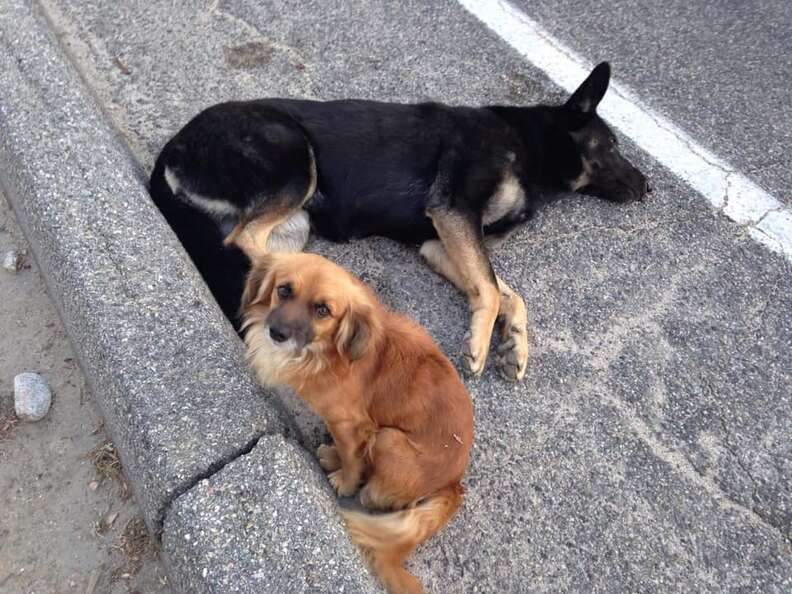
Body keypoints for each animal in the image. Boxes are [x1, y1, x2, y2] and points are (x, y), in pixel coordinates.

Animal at [150, 62, 648, 376]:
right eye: (612, 146)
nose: (648, 188)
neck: (528, 145)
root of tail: (175, 144)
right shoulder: (454, 210)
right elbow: (491, 288)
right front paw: (480, 343)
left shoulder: (440, 241)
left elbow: (506, 293)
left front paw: (515, 343)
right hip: (295, 160)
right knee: (243, 239)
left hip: (297, 222)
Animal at [241, 250, 474, 592]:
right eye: (284, 290)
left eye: (323, 310)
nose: (277, 333)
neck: (325, 354)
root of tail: (453, 484)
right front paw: (335, 458)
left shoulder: (349, 424)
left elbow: (353, 460)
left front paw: (344, 481)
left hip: (388, 439)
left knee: (375, 491)